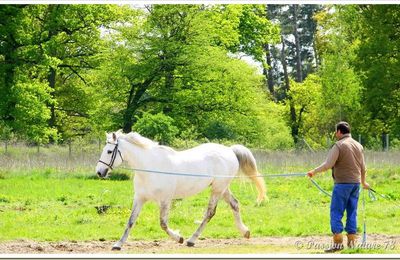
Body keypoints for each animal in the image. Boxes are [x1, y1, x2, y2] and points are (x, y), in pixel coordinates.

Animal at [95, 131, 268, 251]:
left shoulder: (165, 199)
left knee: (210, 213)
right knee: (235, 204)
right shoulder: (140, 198)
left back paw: (191, 240)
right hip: (222, 188)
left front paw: (179, 238)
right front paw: (118, 244)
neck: (150, 167)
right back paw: (245, 232)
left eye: (109, 151)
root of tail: (230, 150)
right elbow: (130, 221)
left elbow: (163, 224)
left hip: (217, 189)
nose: (99, 172)